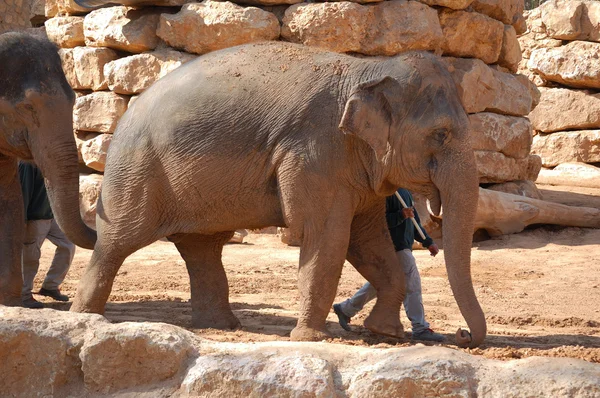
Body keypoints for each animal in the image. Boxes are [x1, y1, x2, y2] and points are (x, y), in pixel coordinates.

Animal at [70, 39, 486, 346]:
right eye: (441, 135)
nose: (463, 335)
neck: (367, 70)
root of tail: (126, 112)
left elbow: (371, 243)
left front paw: (385, 333)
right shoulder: (315, 152)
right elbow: (327, 237)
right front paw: (310, 339)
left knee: (202, 248)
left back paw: (222, 327)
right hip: (137, 170)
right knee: (119, 241)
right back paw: (84, 316)